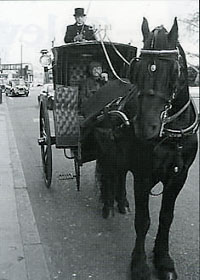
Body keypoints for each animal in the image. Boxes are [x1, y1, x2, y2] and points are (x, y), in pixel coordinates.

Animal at [94, 17, 198, 280]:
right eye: (137, 69)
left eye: (174, 71)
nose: (145, 127)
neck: (171, 133)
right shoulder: (143, 174)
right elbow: (143, 221)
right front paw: (140, 264)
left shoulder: (179, 175)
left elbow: (166, 217)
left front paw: (163, 259)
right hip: (107, 151)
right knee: (109, 173)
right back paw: (108, 204)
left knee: (120, 174)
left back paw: (121, 201)